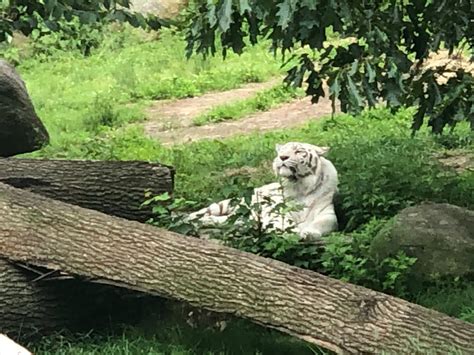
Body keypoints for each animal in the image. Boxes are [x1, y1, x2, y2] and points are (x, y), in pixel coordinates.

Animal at [187, 143, 338, 242]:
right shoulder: (277, 212)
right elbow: (284, 223)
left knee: (230, 221)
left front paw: (309, 233)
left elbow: (320, 223)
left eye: (299, 151)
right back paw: (192, 220)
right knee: (201, 213)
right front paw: (293, 232)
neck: (300, 185)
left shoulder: (327, 213)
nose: (282, 157)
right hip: (228, 204)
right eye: (281, 151)